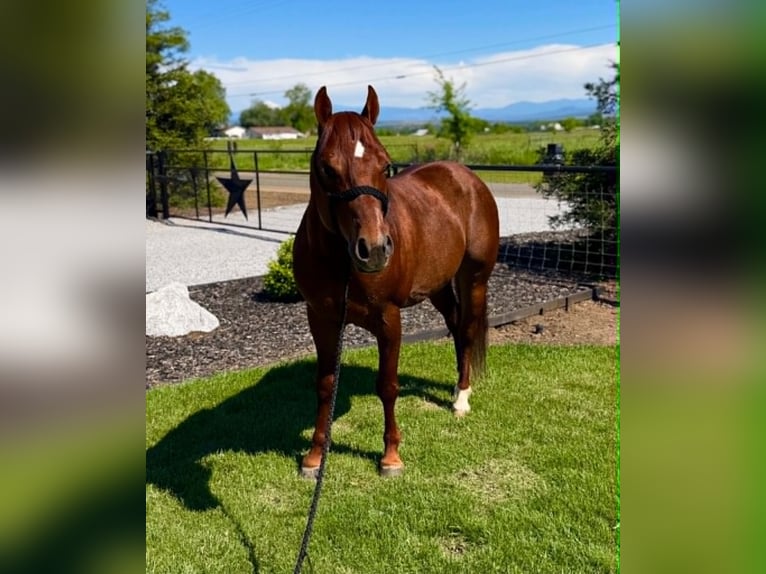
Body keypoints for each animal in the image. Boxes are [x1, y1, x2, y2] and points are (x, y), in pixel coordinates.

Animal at [292, 85, 500, 477]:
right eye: (327, 167)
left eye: (385, 164)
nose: (373, 249)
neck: (341, 262)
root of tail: (466, 177)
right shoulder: (321, 320)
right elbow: (325, 385)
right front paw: (314, 456)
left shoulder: (389, 319)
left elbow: (387, 386)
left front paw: (390, 456)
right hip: (438, 286)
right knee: (455, 325)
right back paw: (455, 390)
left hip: (474, 280)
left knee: (466, 329)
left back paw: (462, 399)